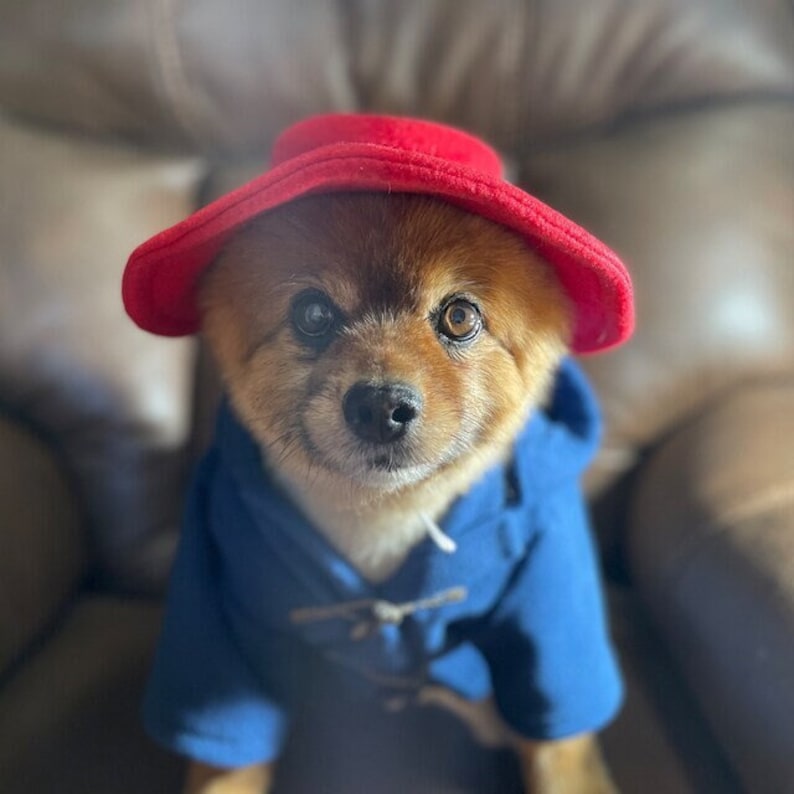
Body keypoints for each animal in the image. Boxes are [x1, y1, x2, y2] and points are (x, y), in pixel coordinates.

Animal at [124, 111, 632, 792]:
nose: (380, 405)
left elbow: (559, 749)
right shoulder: (219, 621)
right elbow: (226, 762)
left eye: (460, 316)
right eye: (312, 313)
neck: (380, 520)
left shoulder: (551, 621)